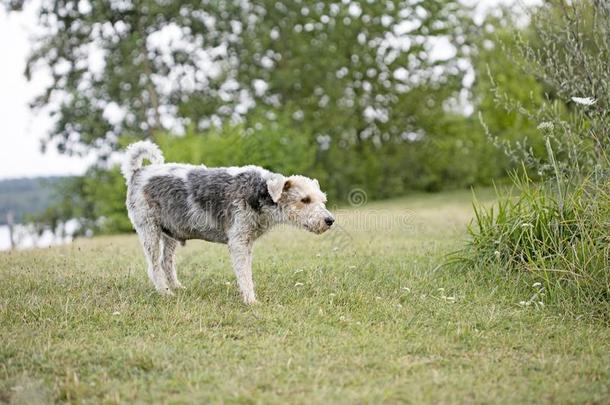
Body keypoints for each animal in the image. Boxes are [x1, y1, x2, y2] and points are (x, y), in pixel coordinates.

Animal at [121, 140, 334, 302]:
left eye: (323, 199)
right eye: (305, 199)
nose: (330, 220)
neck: (258, 192)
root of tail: (137, 172)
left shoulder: (246, 240)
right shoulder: (238, 241)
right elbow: (244, 274)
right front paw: (251, 301)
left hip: (170, 233)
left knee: (166, 262)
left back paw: (178, 288)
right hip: (149, 229)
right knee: (154, 266)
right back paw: (166, 293)